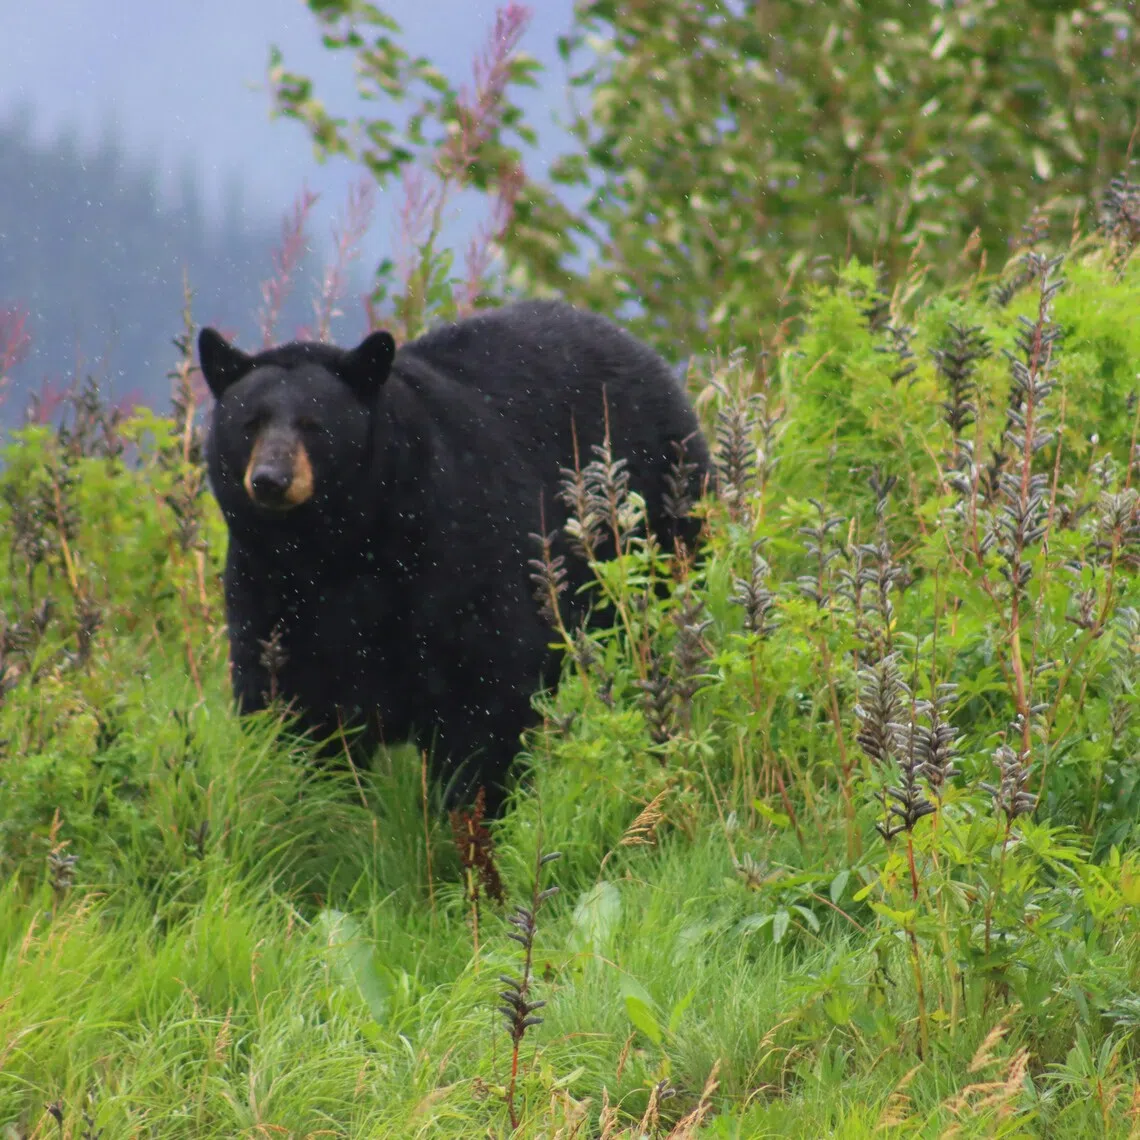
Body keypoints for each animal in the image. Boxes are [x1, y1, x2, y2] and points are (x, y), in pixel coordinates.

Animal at [198, 299, 711, 815]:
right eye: (250, 423)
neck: (338, 550)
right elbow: (288, 703)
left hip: (658, 523)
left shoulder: (456, 555)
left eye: (314, 425)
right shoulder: (267, 587)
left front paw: (473, 815)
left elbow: (488, 693)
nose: (270, 479)